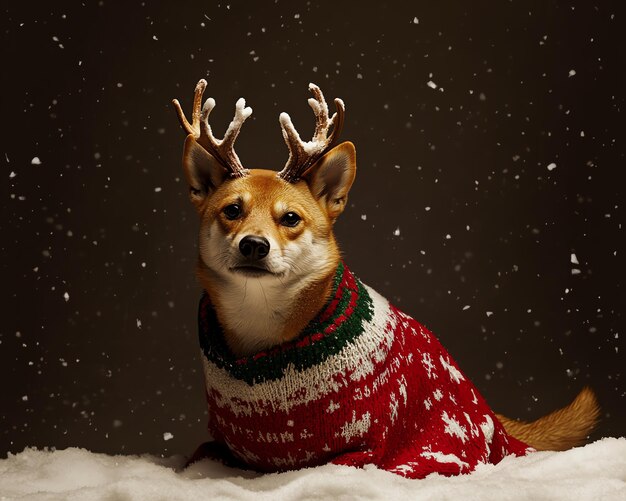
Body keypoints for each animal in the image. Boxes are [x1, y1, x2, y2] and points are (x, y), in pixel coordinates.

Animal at [172, 79, 600, 476]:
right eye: (232, 210)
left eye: (290, 218)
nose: (254, 245)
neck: (263, 338)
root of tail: (494, 417)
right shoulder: (219, 446)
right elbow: (199, 455)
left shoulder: (365, 450)